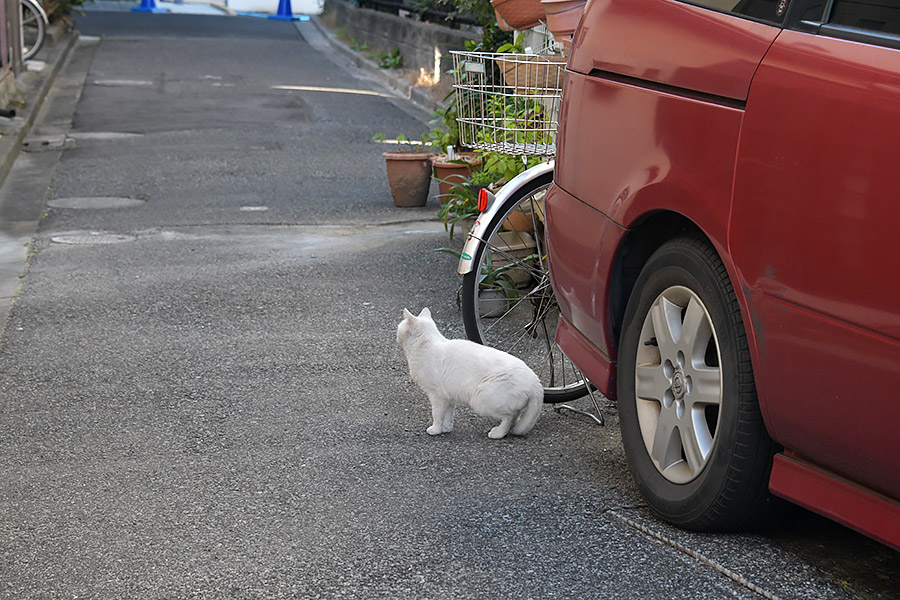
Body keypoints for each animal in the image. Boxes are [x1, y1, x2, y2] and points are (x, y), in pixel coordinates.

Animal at [400, 308, 540, 438]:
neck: (425, 345)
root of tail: (535, 380)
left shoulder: (437, 396)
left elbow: (437, 414)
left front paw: (435, 429)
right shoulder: (448, 397)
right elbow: (448, 414)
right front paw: (446, 428)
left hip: (481, 399)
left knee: (510, 417)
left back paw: (498, 433)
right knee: (517, 416)